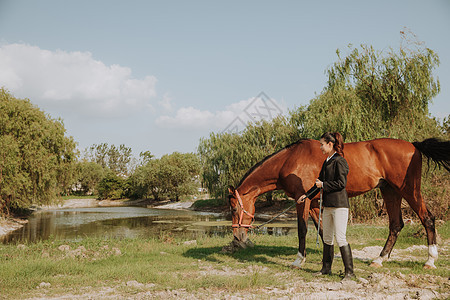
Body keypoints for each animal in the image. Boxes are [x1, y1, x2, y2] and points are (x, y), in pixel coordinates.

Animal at [230, 138, 448, 270]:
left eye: (233, 208)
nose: (238, 236)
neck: (289, 160)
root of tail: (414, 145)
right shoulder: (314, 203)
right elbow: (322, 231)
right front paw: (330, 256)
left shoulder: (303, 200)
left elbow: (302, 230)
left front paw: (299, 260)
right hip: (390, 191)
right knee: (395, 225)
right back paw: (379, 259)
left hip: (409, 190)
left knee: (427, 218)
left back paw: (430, 260)